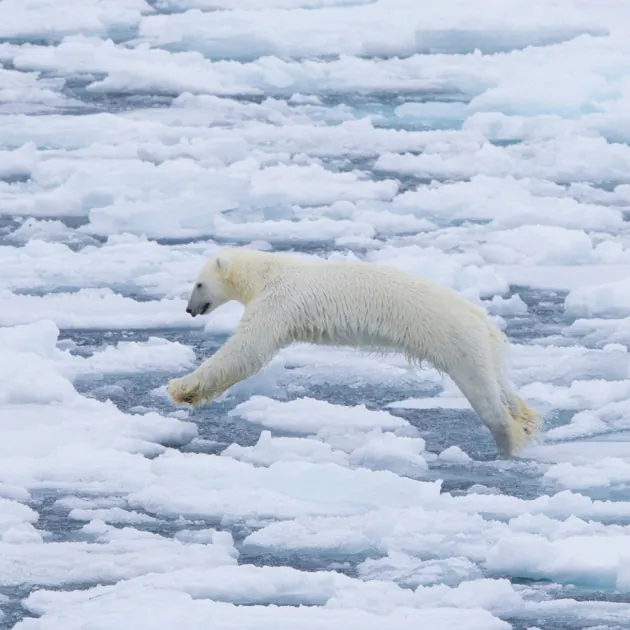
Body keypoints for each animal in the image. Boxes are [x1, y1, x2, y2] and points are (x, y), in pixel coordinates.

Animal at [168, 248, 544, 460]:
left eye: (198, 284)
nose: (189, 309)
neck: (268, 272)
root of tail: (483, 321)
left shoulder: (279, 302)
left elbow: (246, 350)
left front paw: (180, 388)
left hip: (456, 342)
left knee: (484, 394)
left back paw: (508, 442)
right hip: (484, 348)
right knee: (502, 385)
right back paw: (526, 420)